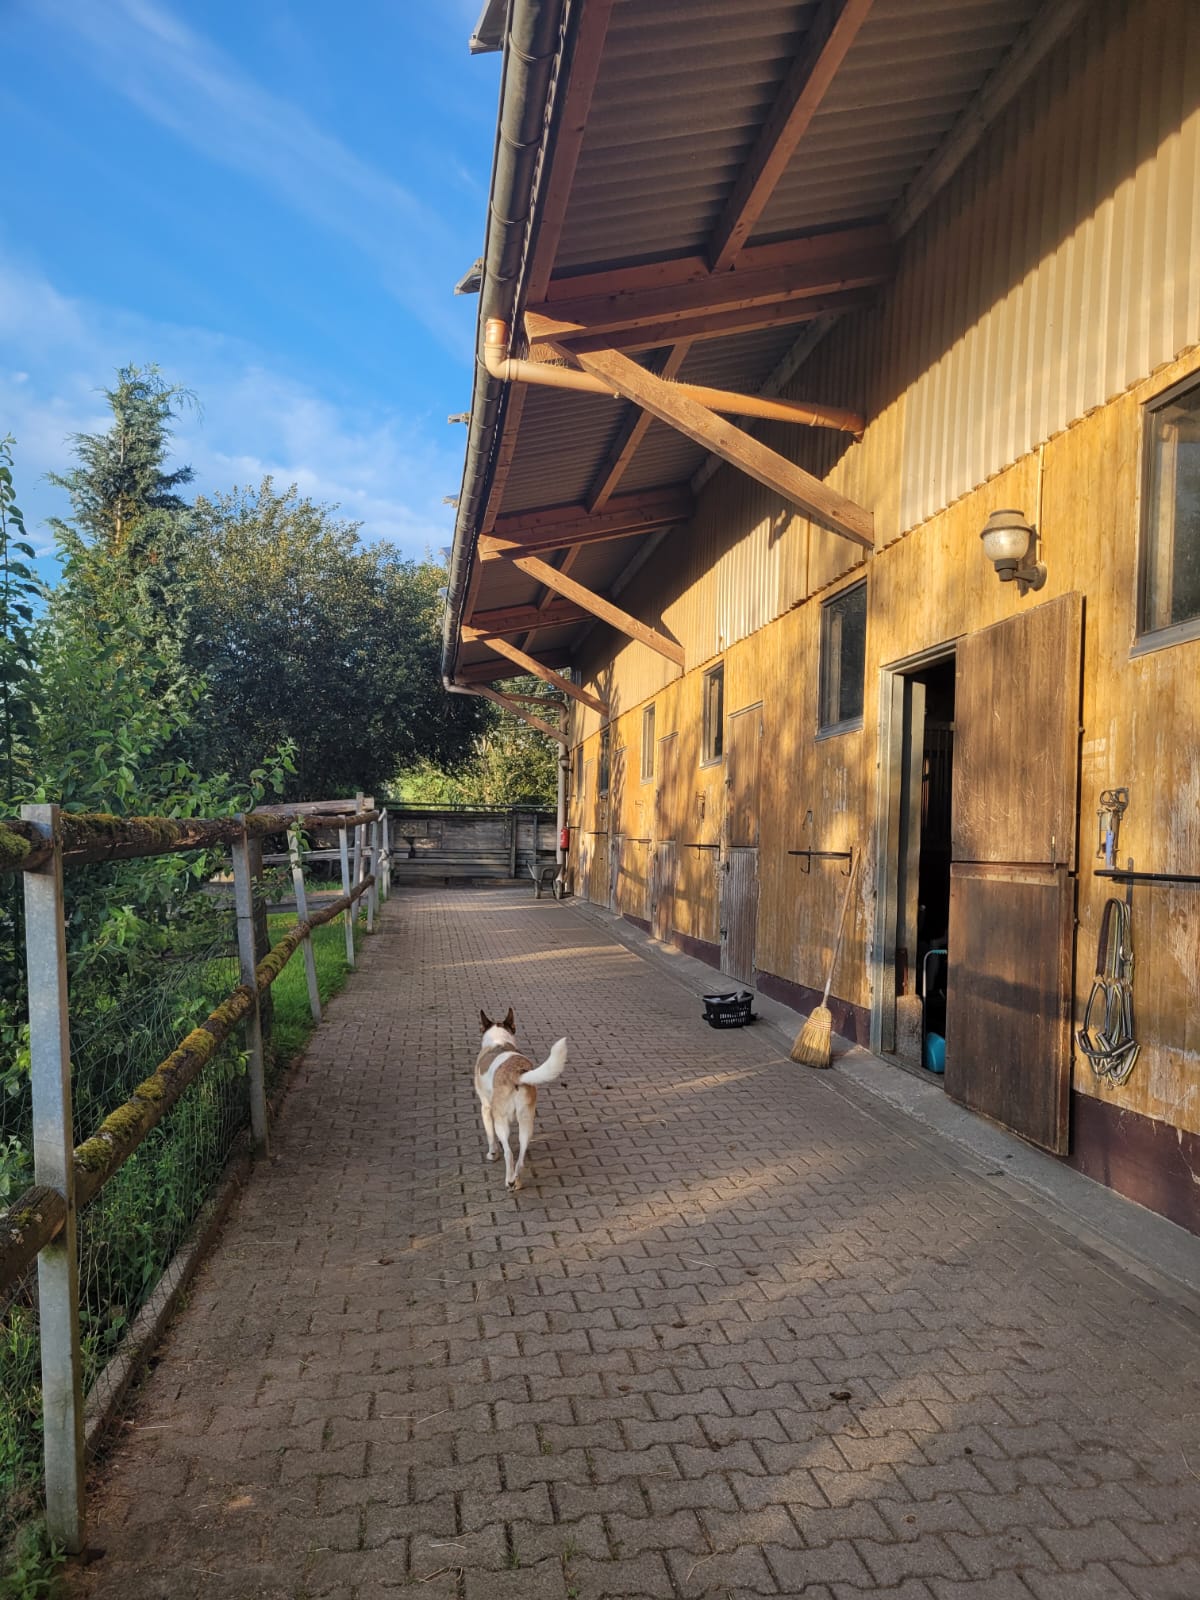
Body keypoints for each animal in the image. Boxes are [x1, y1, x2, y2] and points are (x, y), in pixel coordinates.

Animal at [473, 1011, 569, 1190]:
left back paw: (509, 1180)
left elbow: (490, 1136)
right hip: (527, 1122)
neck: (499, 1039)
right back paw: (515, 1181)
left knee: (509, 1153)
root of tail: (517, 1073)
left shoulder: (486, 1109)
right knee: (521, 1159)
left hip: (501, 1121)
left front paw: (492, 1153)